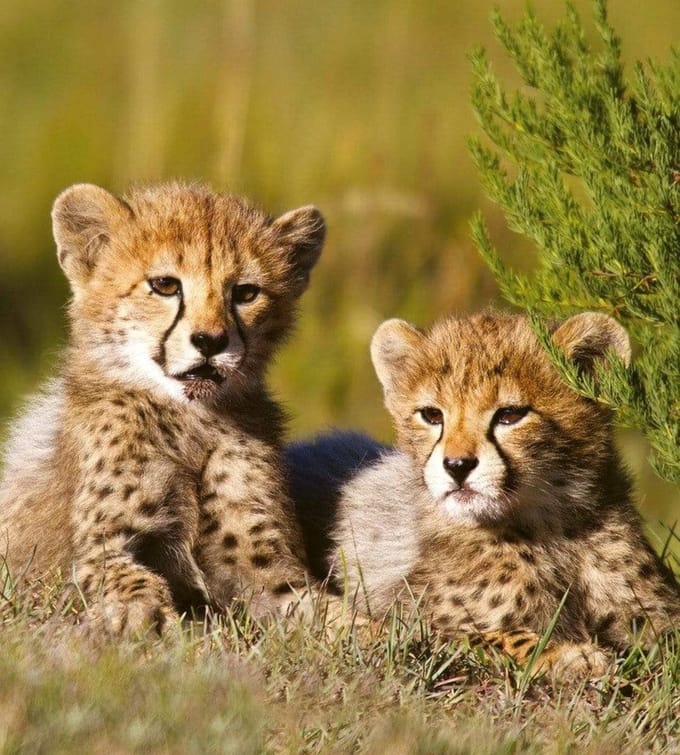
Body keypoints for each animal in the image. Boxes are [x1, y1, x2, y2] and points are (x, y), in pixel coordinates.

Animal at [0, 181, 327, 635]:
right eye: (165, 286)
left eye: (245, 293)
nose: (210, 341)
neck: (189, 417)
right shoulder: (99, 550)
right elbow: (129, 578)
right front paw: (144, 616)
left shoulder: (267, 571)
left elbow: (333, 614)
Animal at [286, 311, 680, 679]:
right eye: (432, 415)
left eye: (510, 415)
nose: (457, 465)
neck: (551, 528)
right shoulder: (413, 625)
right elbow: (494, 634)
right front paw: (566, 654)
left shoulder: (655, 617)